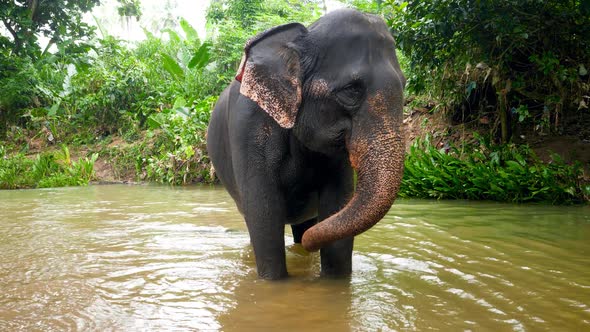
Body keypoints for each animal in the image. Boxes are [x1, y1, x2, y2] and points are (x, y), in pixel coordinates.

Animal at [207, 7, 408, 278]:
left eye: (404, 84)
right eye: (351, 90)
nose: (311, 245)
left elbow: (337, 202)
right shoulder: (247, 126)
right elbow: (264, 215)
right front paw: (273, 282)